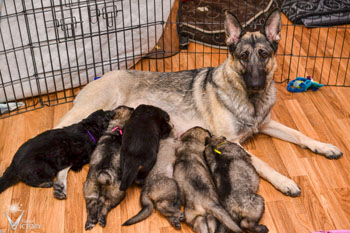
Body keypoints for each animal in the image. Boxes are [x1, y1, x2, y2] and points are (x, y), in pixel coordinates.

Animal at [54, 9, 342, 198]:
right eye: (243, 56)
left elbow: (301, 135)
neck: (250, 100)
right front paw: (284, 181)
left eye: (263, 54)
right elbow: (262, 163)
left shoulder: (268, 124)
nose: (256, 84)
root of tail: (99, 76)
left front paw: (324, 146)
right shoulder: (230, 141)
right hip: (84, 117)